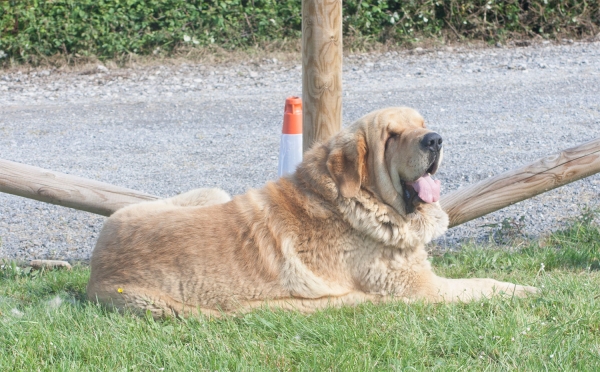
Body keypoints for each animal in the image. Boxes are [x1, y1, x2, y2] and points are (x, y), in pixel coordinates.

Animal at [86, 107, 536, 316]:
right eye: (392, 136)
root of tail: (95, 276)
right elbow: (481, 285)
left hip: (211, 191)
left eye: (422, 123)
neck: (355, 200)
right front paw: (525, 291)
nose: (436, 139)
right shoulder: (423, 291)